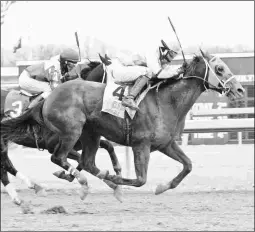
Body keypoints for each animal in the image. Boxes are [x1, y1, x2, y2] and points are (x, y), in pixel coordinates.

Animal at [1, 49, 245, 198]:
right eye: (220, 69)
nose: (240, 90)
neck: (166, 101)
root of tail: (50, 96)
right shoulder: (141, 144)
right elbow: (140, 180)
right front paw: (118, 178)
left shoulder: (166, 144)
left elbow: (188, 165)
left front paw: (162, 187)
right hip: (71, 132)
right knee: (57, 158)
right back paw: (81, 183)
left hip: (90, 134)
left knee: (87, 162)